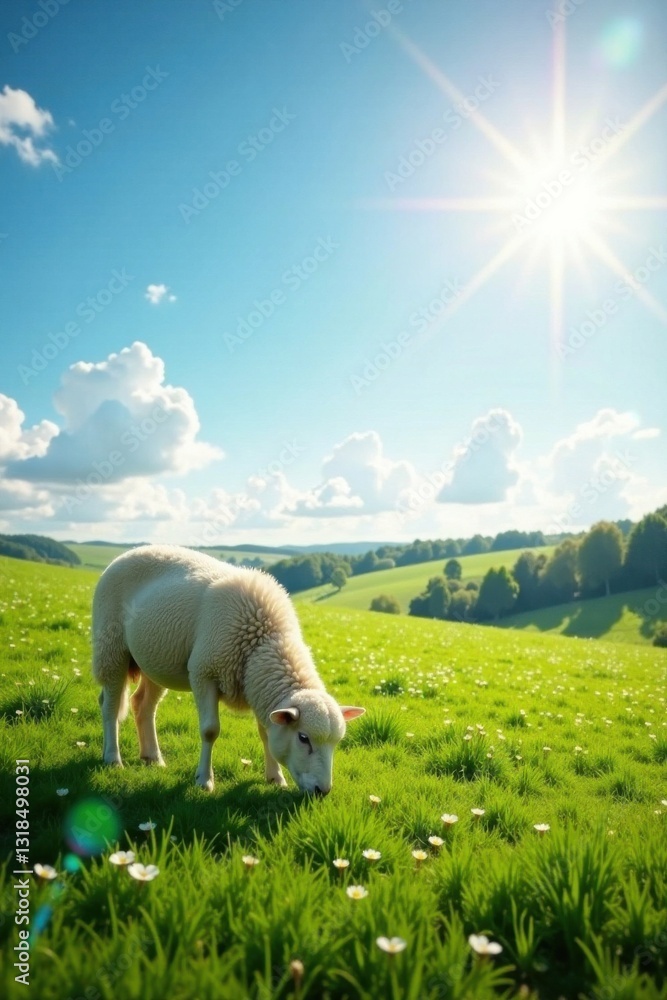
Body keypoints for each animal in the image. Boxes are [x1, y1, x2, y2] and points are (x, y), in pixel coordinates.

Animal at [92, 544, 365, 795]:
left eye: (336, 743)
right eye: (303, 738)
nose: (323, 791)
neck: (263, 641)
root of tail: (129, 552)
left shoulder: (256, 686)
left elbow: (266, 733)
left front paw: (275, 778)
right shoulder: (204, 672)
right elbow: (210, 731)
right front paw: (204, 780)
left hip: (155, 660)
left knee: (143, 706)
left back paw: (153, 758)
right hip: (110, 647)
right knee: (110, 705)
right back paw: (113, 758)